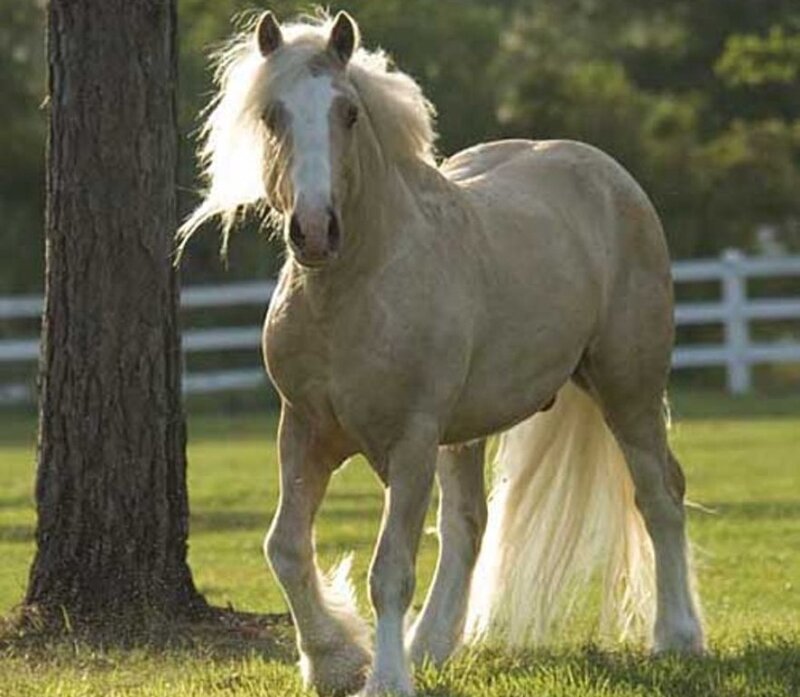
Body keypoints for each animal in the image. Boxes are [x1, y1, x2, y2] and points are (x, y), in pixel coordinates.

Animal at [179, 11, 705, 696]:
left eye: (349, 112)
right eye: (272, 114)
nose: (315, 232)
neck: (353, 294)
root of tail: (607, 175)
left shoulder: (411, 441)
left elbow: (389, 570)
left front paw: (384, 678)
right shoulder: (303, 431)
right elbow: (286, 549)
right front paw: (335, 661)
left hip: (628, 388)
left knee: (659, 495)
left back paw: (678, 638)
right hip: (468, 430)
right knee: (466, 526)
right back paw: (429, 645)